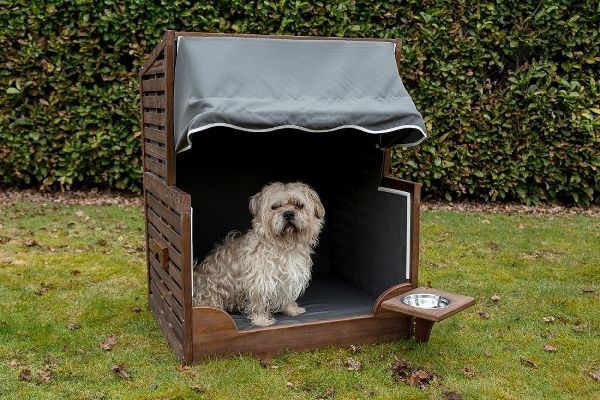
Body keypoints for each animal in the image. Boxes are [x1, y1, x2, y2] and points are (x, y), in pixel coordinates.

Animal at [191, 183, 324, 326]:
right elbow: (259, 301)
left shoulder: (288, 279)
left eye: (299, 205)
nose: (288, 213)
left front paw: (291, 309)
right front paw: (262, 320)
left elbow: (287, 296)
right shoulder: (260, 281)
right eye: (275, 207)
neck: (284, 246)